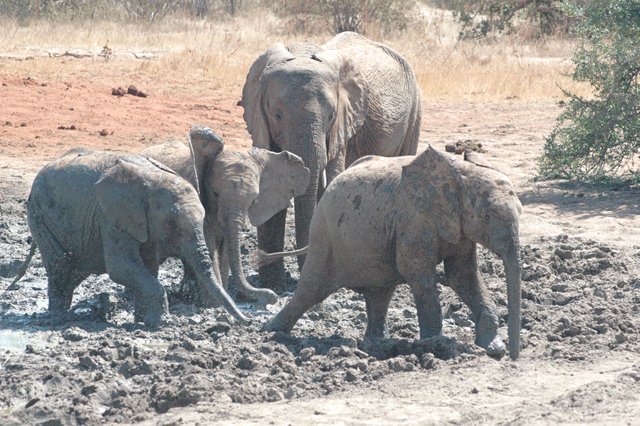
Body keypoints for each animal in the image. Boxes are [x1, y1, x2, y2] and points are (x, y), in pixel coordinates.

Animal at [15, 147, 250, 326]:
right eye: (172, 224)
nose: (248, 321)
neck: (152, 182)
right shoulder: (110, 215)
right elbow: (121, 267)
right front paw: (161, 323)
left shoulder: (145, 225)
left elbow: (148, 267)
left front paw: (143, 321)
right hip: (39, 216)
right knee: (60, 267)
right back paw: (58, 319)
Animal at [142, 125, 310, 304]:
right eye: (215, 193)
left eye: (254, 200)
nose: (273, 297)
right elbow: (208, 242)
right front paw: (212, 304)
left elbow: (226, 247)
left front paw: (221, 296)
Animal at [242, 30, 422, 290]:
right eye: (277, 115)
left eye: (331, 116)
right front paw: (272, 284)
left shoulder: (343, 127)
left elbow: (330, 181)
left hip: (415, 112)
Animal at [262, 146, 524, 360]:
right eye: (488, 217)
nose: (513, 358)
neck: (461, 172)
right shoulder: (413, 218)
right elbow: (416, 272)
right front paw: (435, 345)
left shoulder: (458, 227)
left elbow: (463, 276)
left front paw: (493, 348)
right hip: (324, 235)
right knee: (311, 289)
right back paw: (271, 333)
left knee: (380, 294)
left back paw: (376, 344)